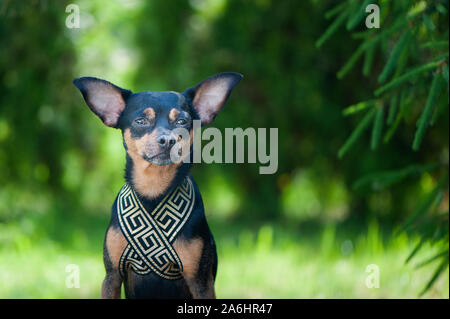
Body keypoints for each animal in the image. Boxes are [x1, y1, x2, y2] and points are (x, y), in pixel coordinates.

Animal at [74, 73, 243, 300]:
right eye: (141, 121)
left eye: (182, 121)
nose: (167, 140)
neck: (153, 190)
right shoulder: (112, 276)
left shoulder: (200, 281)